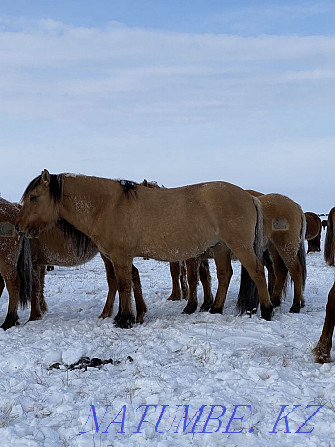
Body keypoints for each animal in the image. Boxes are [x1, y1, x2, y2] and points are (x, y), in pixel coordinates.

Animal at [0, 198, 146, 330]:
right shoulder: (40, 264)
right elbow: (39, 287)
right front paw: (41, 311)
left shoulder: (33, 263)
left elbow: (34, 289)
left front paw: (34, 317)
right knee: (126, 276)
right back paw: (134, 313)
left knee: (118, 279)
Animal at [15, 170, 276, 328]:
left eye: (34, 196)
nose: (19, 227)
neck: (107, 206)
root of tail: (250, 197)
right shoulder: (116, 257)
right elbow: (125, 283)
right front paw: (127, 315)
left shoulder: (120, 256)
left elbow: (124, 285)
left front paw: (125, 319)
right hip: (221, 248)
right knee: (224, 275)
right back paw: (215, 309)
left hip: (239, 246)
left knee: (257, 272)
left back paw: (267, 311)